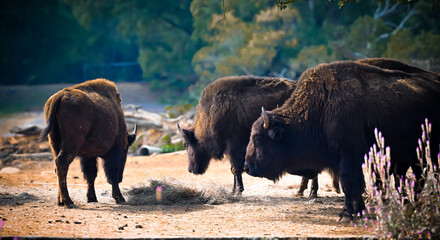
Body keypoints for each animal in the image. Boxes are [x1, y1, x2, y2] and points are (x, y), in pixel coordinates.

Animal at [39, 79, 137, 208]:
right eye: (125, 151)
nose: (121, 178)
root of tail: (59, 96)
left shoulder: (88, 155)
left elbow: (90, 175)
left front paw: (91, 198)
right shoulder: (114, 152)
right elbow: (111, 173)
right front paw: (120, 198)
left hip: (55, 144)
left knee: (57, 167)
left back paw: (60, 201)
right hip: (71, 144)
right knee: (62, 163)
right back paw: (68, 202)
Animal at [244, 58, 440, 219]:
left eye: (258, 139)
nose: (247, 166)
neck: (321, 107)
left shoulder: (350, 155)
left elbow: (350, 183)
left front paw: (348, 213)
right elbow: (351, 185)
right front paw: (354, 210)